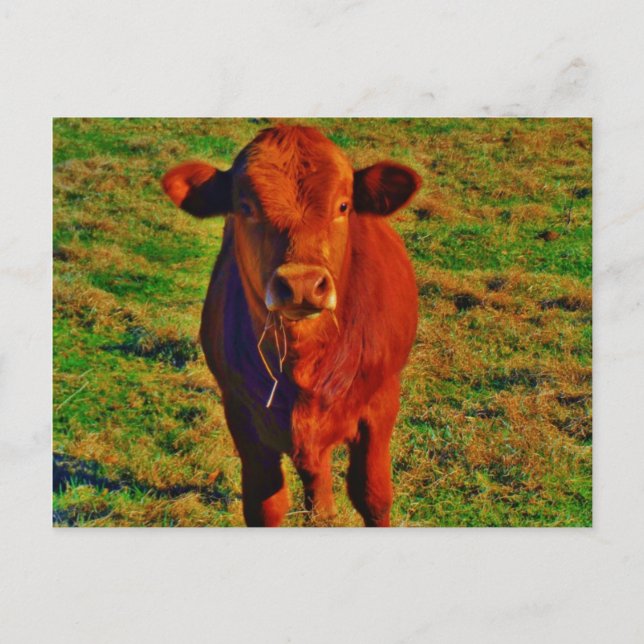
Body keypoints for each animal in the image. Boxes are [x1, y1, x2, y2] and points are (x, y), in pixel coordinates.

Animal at [162, 125, 420, 527]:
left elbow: (374, 496)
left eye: (343, 206)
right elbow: (265, 503)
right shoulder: (242, 415)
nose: (302, 284)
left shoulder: (381, 405)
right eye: (245, 207)